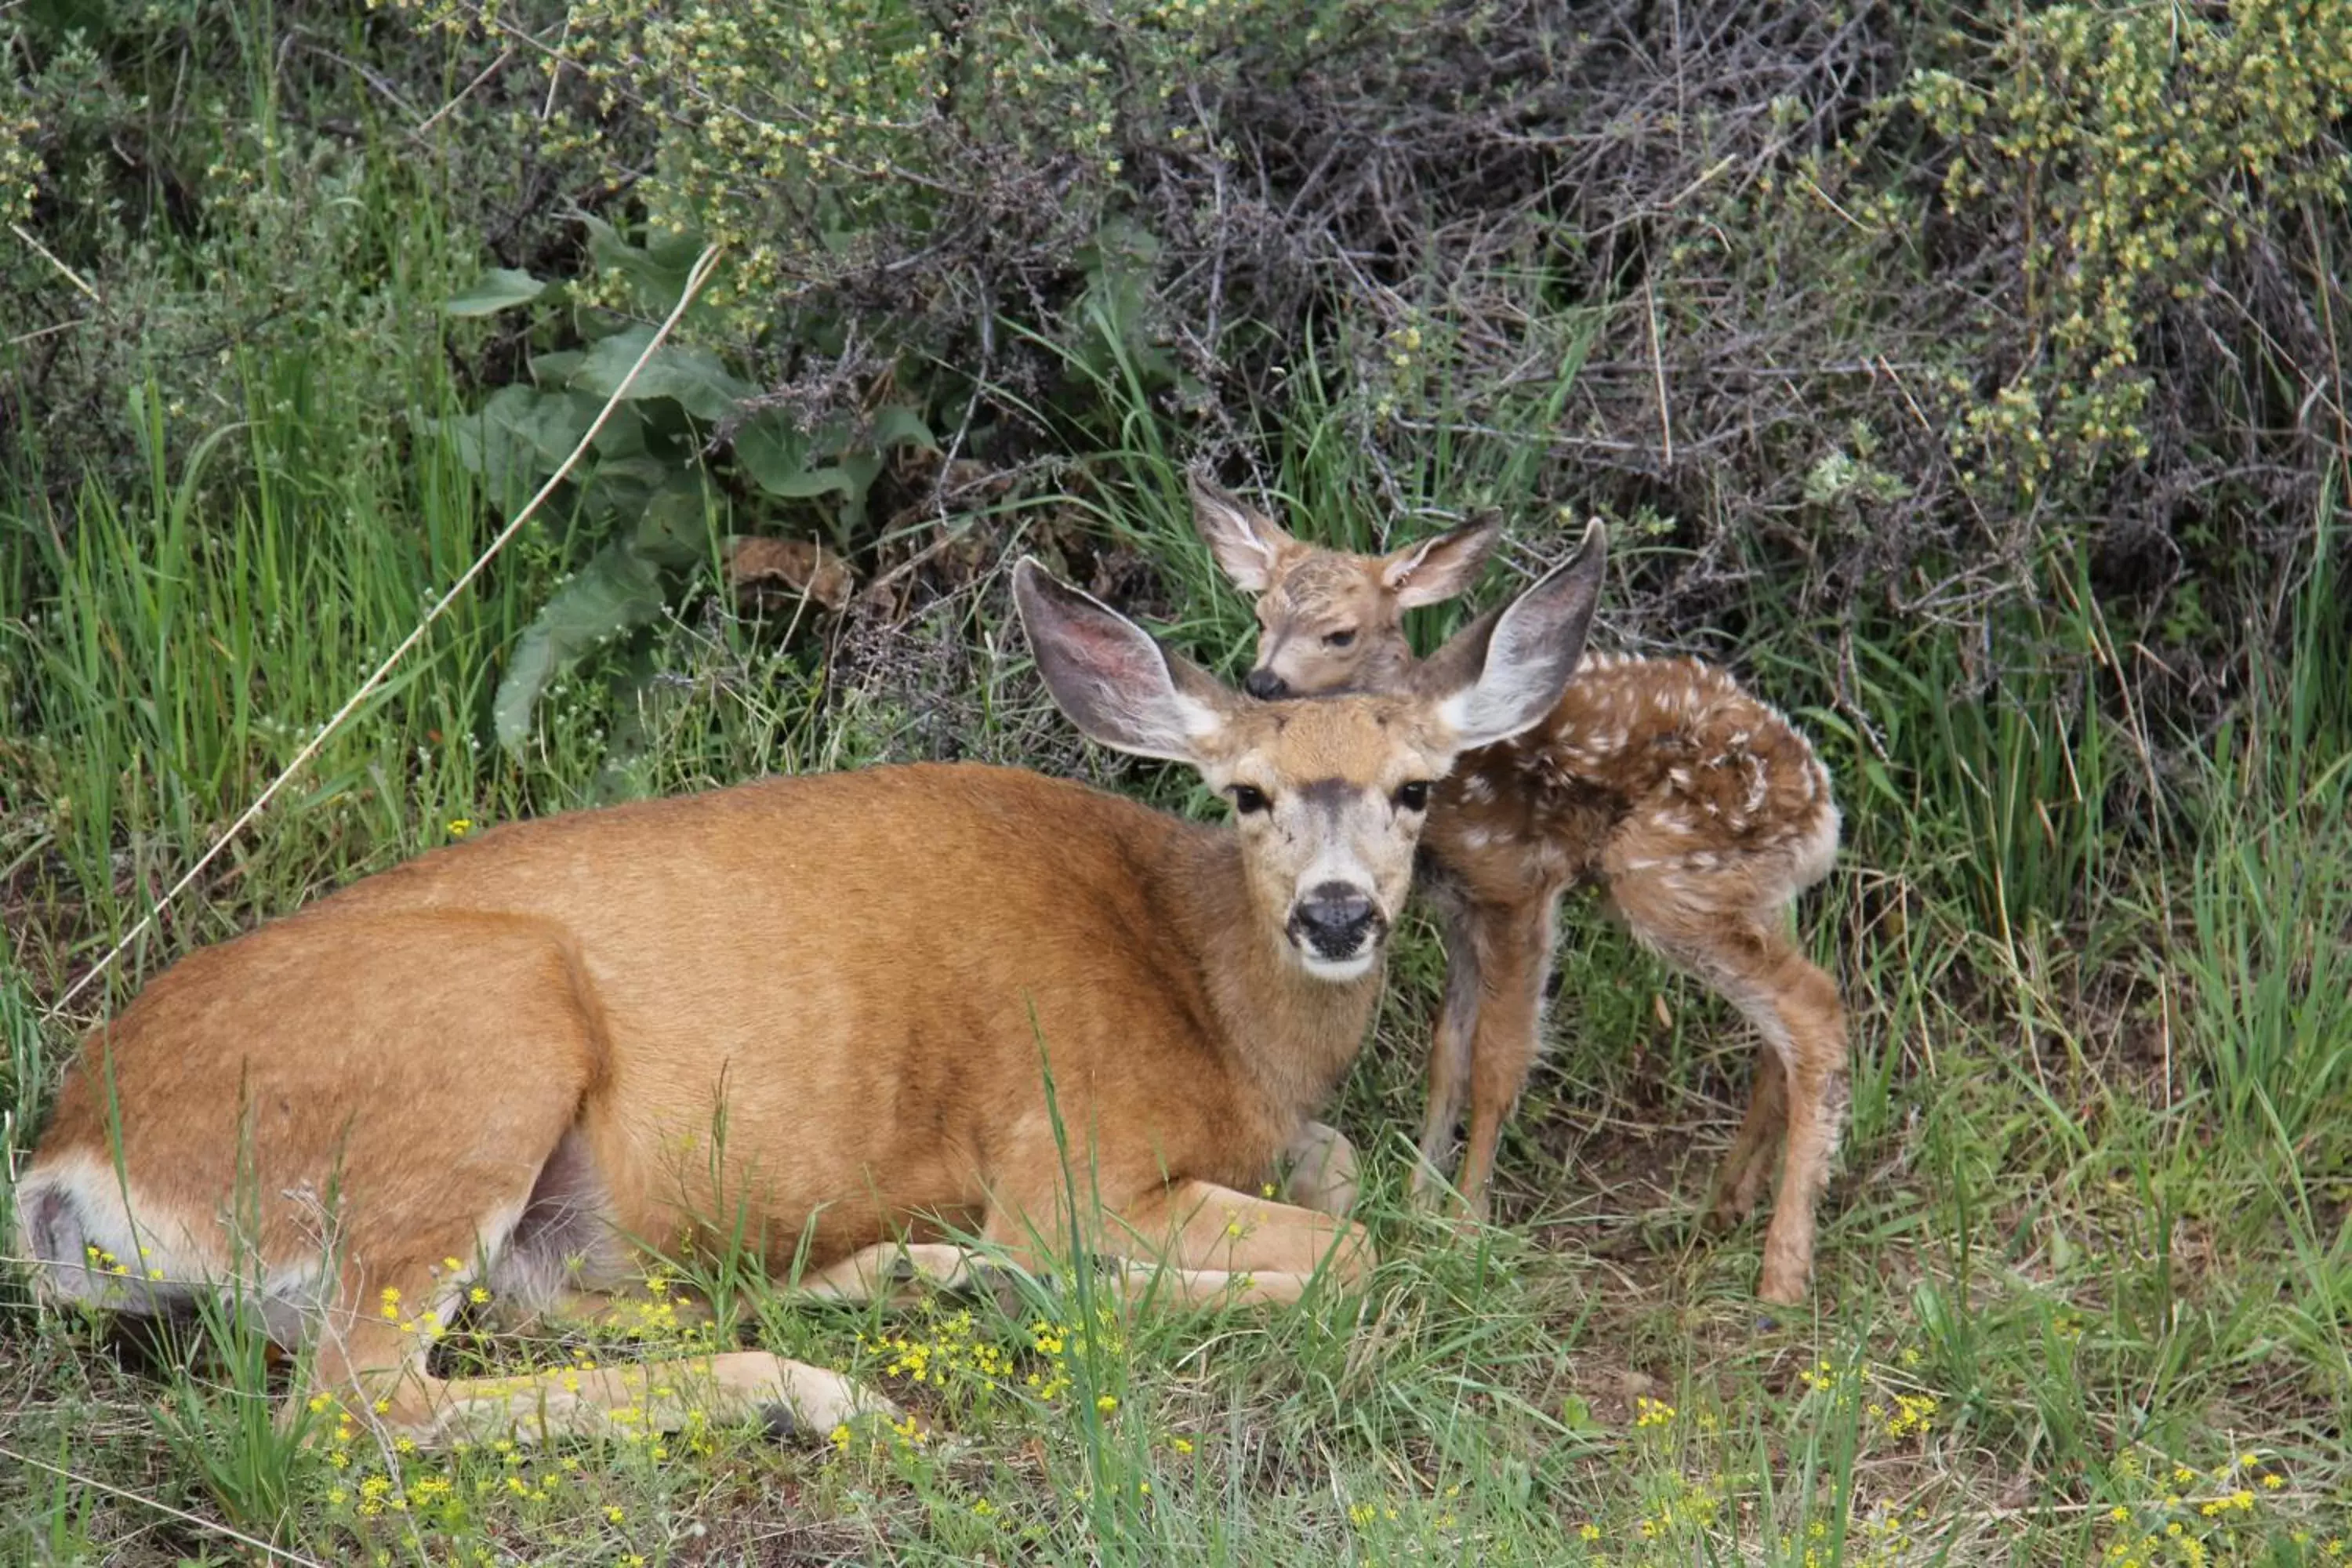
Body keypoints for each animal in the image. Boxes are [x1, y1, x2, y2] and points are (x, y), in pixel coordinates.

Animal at [13, 552, 1599, 1448]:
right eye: (1249, 793)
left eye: (1419, 789)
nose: (1337, 914)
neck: (1207, 989)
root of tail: (65, 1160)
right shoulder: (1070, 1157)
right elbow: (1347, 1257)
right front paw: (1065, 1288)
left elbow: (1346, 1182)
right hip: (481, 1053)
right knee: (348, 1412)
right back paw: (826, 1388)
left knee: (540, 1313)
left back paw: (885, 1287)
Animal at [1204, 472, 1844, 1307]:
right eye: (1260, 616)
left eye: (1338, 633)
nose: (1262, 681)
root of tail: (1822, 806)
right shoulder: (1457, 906)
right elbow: (1447, 1051)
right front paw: (1420, 1201)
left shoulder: (1518, 883)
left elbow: (1499, 1059)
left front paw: (1467, 1225)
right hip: (1749, 889)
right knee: (1781, 1030)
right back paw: (1722, 1208)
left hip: (1666, 874)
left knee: (1816, 1010)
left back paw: (1782, 1274)